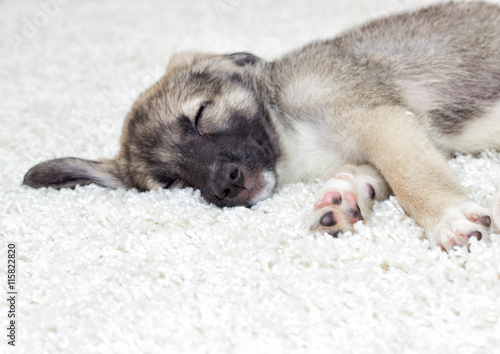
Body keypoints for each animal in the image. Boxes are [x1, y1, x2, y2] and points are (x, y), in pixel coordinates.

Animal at [23, 3, 500, 252]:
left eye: (200, 116)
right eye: (171, 181)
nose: (227, 184)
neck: (288, 140)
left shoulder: (380, 119)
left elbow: (411, 176)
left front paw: (446, 220)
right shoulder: (384, 133)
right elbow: (374, 173)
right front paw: (343, 198)